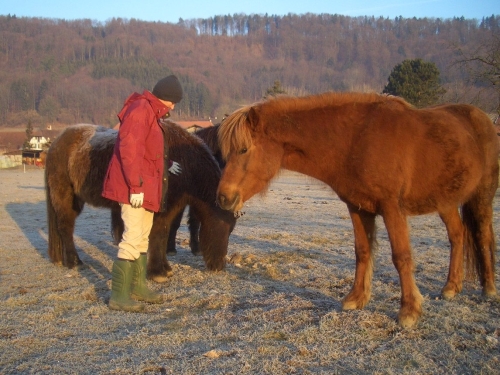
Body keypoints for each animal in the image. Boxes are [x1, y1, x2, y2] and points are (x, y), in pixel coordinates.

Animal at [46, 122, 235, 282]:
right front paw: (158, 272)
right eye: (220, 225)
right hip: (65, 198)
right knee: (65, 227)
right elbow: (158, 236)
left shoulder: (171, 211)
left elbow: (163, 234)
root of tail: (56, 143)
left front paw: (164, 269)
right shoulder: (161, 212)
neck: (184, 164)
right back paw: (74, 262)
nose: (219, 266)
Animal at [217, 92, 498, 328]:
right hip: (446, 201)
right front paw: (356, 298)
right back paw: (452, 286)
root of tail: (483, 118)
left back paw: (489, 288)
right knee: (457, 236)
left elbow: (401, 257)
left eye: (243, 149)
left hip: (482, 196)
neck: (357, 139)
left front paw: (409, 311)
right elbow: (362, 251)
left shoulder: (392, 208)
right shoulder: (358, 208)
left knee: (482, 237)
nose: (223, 198)